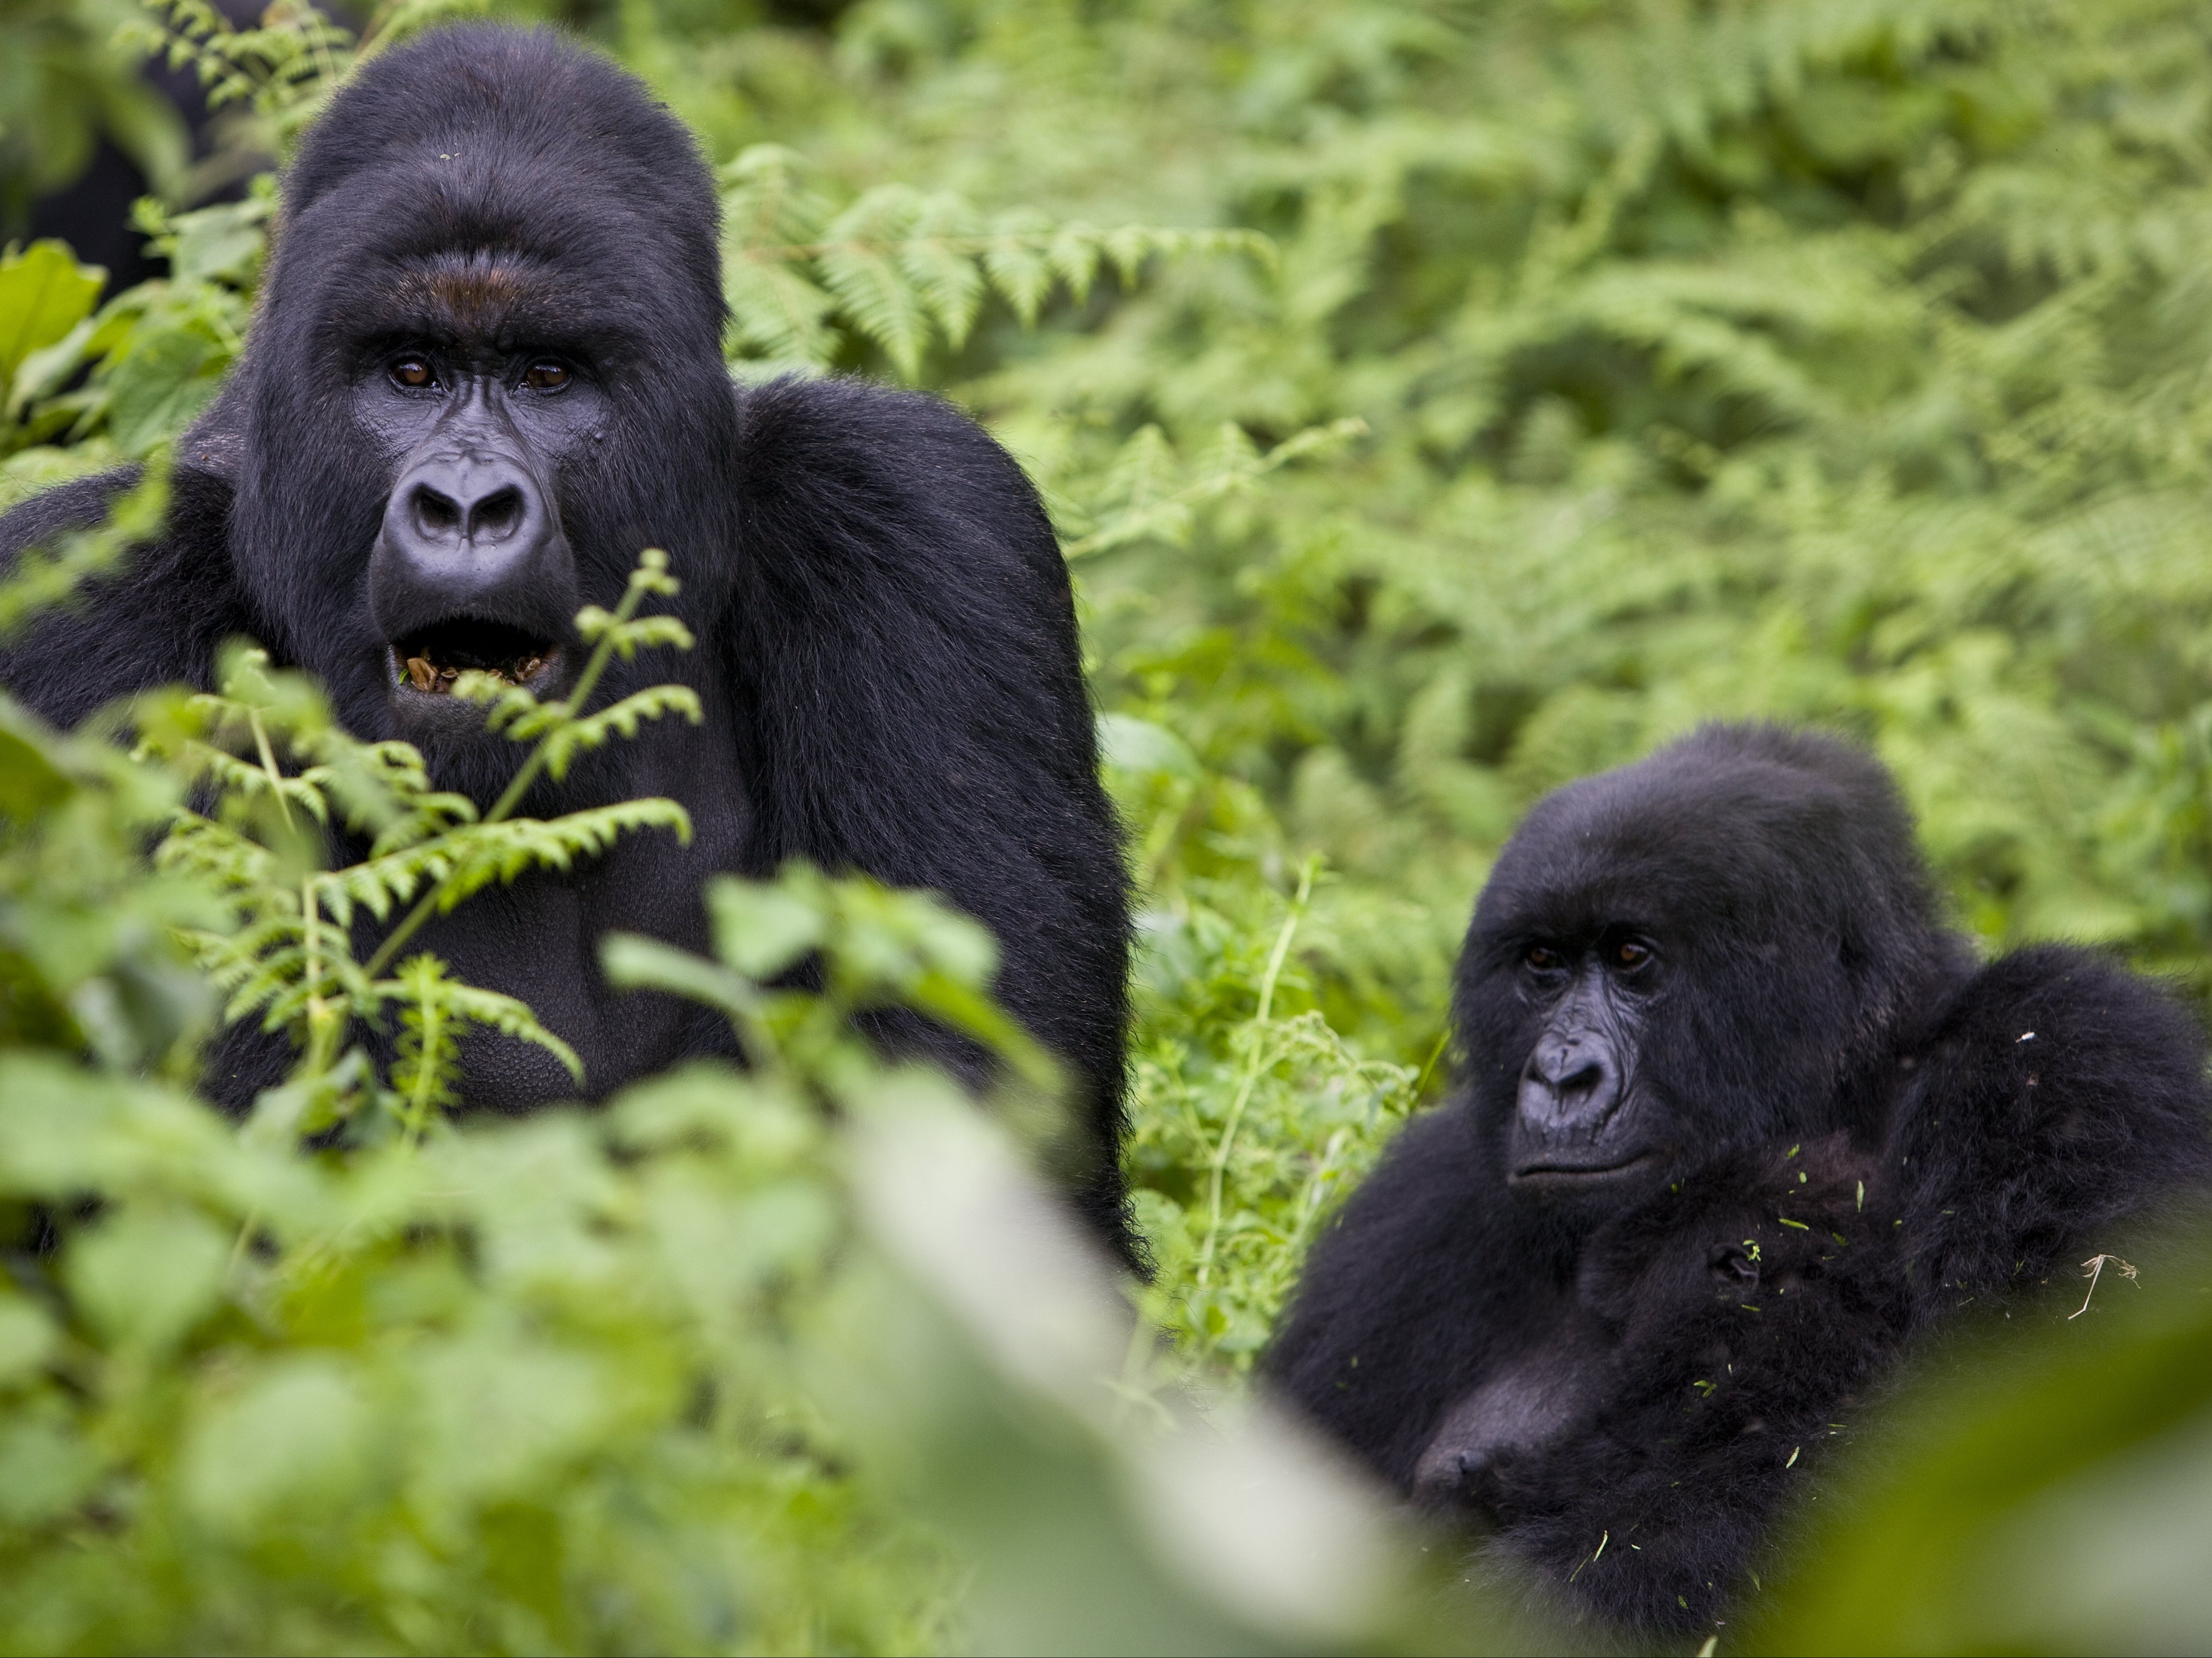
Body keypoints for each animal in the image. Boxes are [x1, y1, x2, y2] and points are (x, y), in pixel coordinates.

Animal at [1265, 725, 2212, 1636]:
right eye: (1542, 964)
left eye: (1632, 956)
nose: (1562, 1076)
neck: (1842, 1083)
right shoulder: (1416, 1211)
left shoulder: (2067, 1051)